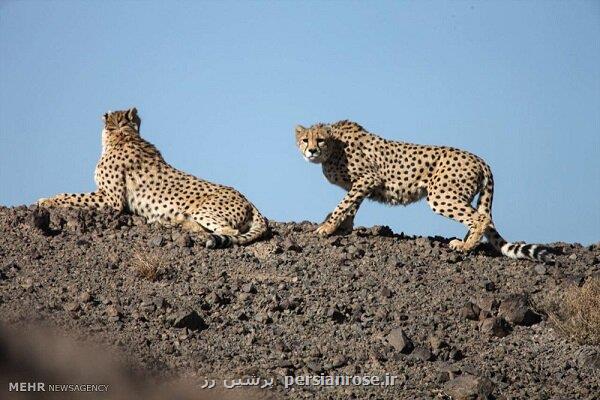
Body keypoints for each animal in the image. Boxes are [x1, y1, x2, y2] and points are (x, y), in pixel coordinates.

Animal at [38, 108, 268, 248]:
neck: (124, 135)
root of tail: (249, 200)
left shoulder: (112, 200)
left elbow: (73, 196)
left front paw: (47, 200)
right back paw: (174, 222)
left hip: (203, 209)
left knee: (228, 230)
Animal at [296, 119, 552, 262]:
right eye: (304, 140)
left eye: (319, 140)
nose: (311, 151)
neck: (334, 147)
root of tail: (480, 159)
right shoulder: (360, 185)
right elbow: (351, 206)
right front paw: (344, 228)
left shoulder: (367, 178)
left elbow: (343, 205)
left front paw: (327, 228)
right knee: (480, 217)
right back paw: (464, 242)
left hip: (440, 195)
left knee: (480, 218)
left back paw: (465, 246)